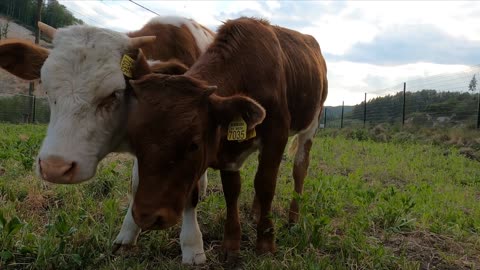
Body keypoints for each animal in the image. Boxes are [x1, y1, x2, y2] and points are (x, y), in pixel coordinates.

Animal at [0, 15, 214, 264]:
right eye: (47, 89)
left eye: (113, 94)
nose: (55, 167)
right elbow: (137, 183)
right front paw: (128, 232)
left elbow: (190, 191)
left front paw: (192, 245)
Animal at [125, 16, 328, 262]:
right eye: (134, 139)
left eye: (194, 145)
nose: (146, 216)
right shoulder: (227, 148)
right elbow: (232, 190)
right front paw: (231, 243)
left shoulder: (277, 135)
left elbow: (266, 184)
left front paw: (265, 242)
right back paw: (255, 212)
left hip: (312, 123)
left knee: (299, 169)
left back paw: (293, 218)